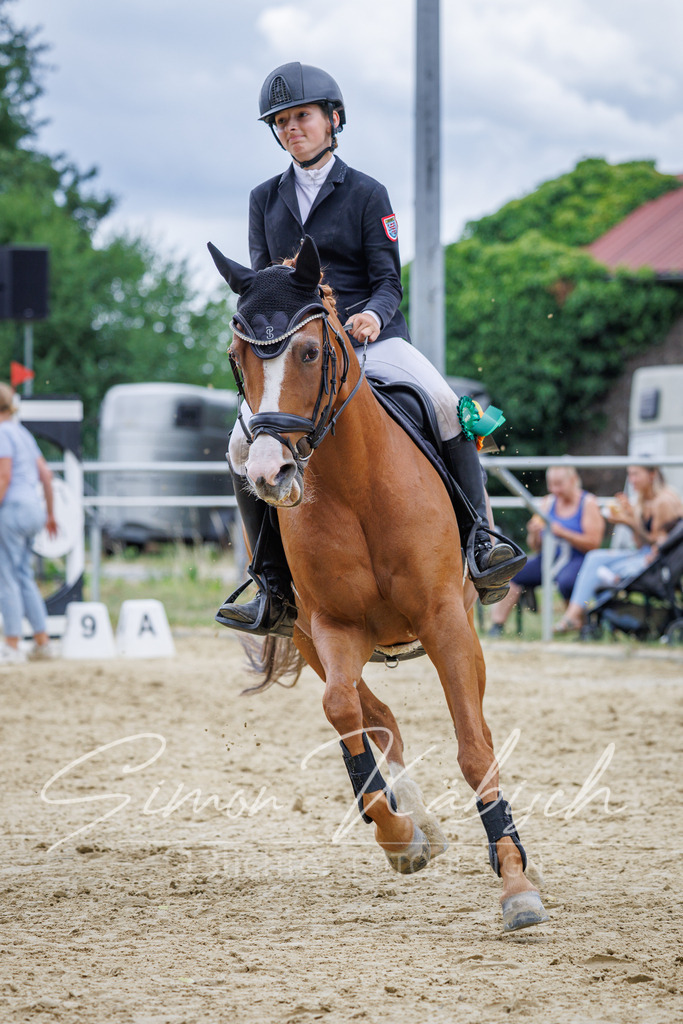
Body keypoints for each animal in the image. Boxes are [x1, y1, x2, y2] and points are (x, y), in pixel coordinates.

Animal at [208, 235, 548, 932]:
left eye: (310, 352)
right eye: (237, 357)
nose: (269, 474)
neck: (354, 486)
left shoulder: (445, 621)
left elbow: (473, 748)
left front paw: (515, 886)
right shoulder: (332, 629)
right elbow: (344, 714)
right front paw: (400, 837)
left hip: (463, 626)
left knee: (472, 724)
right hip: (307, 639)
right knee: (376, 715)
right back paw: (419, 822)